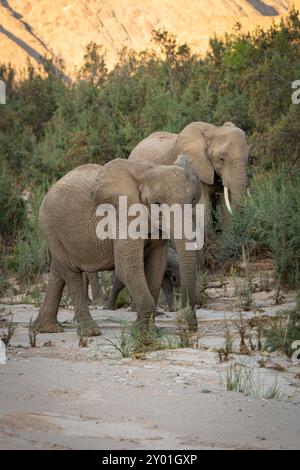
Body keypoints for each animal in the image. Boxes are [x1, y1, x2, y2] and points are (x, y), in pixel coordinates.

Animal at [34, 156, 200, 336]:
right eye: (157, 203)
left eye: (193, 201)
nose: (189, 327)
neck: (147, 172)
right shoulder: (122, 215)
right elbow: (126, 266)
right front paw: (140, 332)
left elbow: (156, 267)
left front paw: (150, 331)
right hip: (50, 226)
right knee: (71, 273)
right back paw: (90, 332)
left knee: (58, 271)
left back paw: (47, 328)